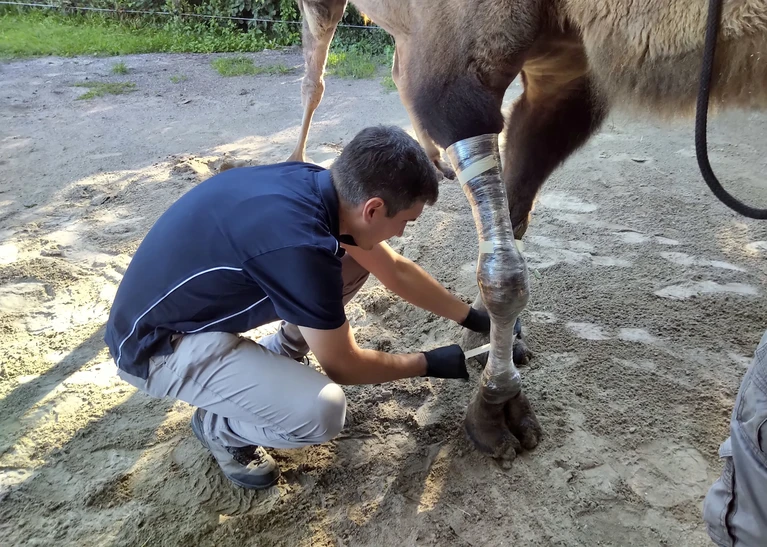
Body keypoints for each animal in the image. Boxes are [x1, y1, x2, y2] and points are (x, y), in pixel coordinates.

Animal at [290, 0, 767, 463]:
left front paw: (486, 335)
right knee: (315, 72)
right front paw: (495, 410)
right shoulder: (459, 64)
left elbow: (514, 226)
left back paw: (435, 162)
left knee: (390, 67)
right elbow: (503, 272)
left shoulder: (567, 78)